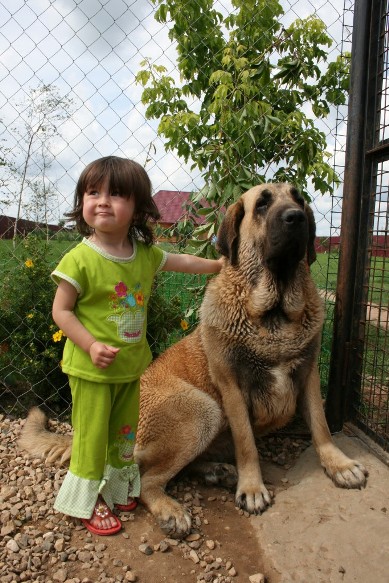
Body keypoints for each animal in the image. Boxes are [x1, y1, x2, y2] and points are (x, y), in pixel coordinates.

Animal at [20, 182, 366, 540]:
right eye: (262, 204)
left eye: (298, 198)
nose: (296, 217)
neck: (275, 314)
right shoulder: (231, 387)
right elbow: (247, 442)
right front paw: (252, 487)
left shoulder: (308, 374)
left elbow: (321, 426)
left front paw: (338, 464)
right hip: (202, 411)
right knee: (145, 481)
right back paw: (171, 509)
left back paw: (217, 472)